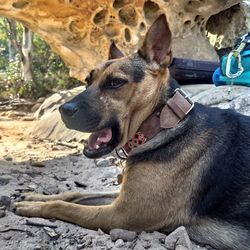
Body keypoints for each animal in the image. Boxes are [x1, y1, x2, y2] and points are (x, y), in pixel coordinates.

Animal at [15, 14, 250, 249]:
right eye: (88, 80)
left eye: (115, 82)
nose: (63, 110)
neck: (162, 124)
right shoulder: (123, 199)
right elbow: (75, 193)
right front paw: (36, 198)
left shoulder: (121, 215)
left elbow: (65, 206)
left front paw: (35, 208)